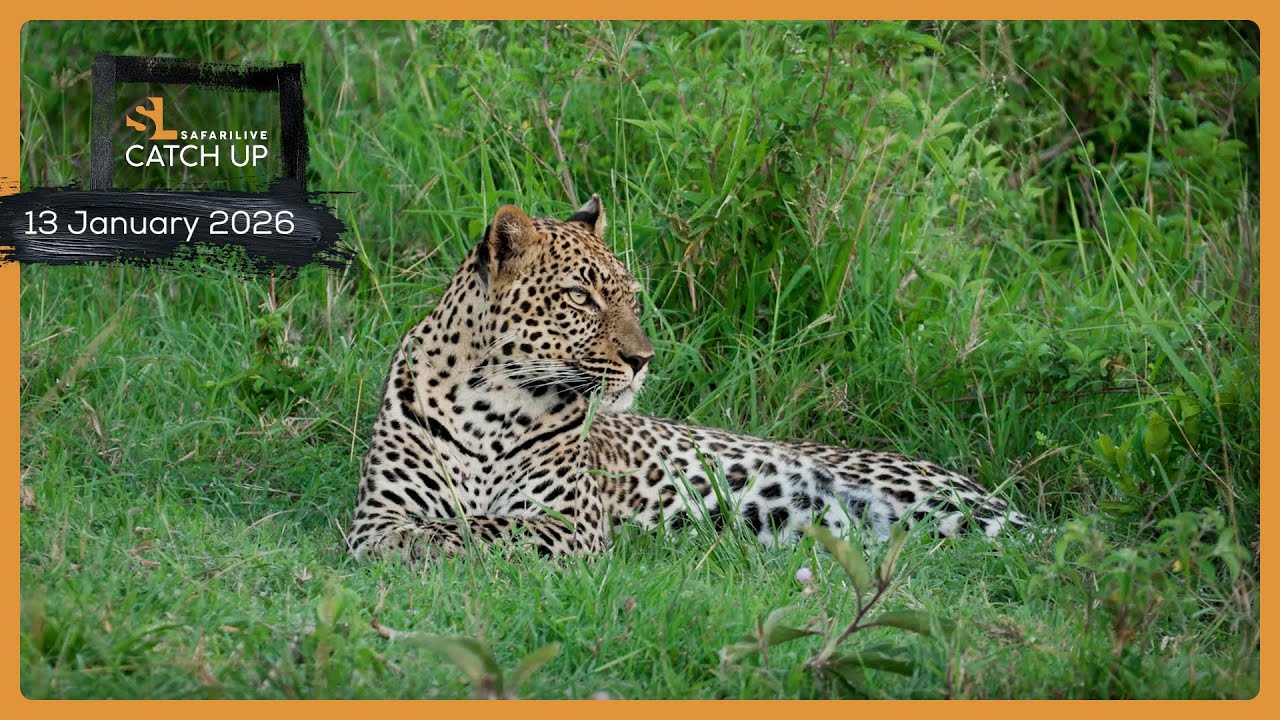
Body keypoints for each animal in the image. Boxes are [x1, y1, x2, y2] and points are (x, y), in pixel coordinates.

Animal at [345, 195, 1028, 562]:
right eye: (580, 298)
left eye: (630, 297)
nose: (643, 359)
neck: (489, 405)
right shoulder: (380, 508)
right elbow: (424, 526)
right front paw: (397, 547)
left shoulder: (569, 520)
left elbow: (479, 524)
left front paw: (413, 546)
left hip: (950, 507)